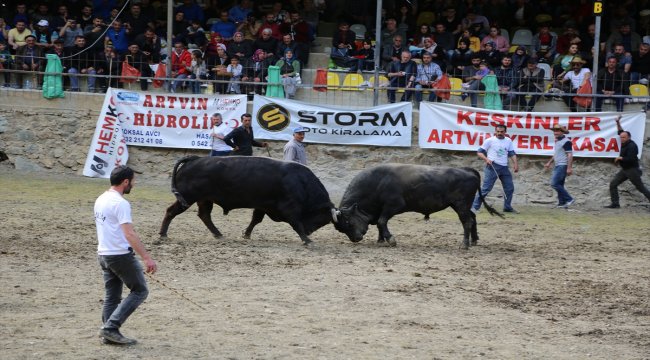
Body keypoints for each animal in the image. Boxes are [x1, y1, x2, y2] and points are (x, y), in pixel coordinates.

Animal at [159, 155, 336, 245]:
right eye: (323, 219)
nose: (309, 231)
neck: (300, 181)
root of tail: (194, 159)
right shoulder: (289, 208)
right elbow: (296, 223)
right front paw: (307, 239)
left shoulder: (263, 206)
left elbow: (255, 220)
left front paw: (246, 234)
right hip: (187, 198)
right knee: (171, 212)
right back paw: (163, 234)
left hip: (204, 199)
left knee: (204, 215)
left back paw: (218, 234)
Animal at [332, 165, 498, 249]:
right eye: (340, 228)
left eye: (348, 222)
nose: (355, 239)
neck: (377, 182)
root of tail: (467, 170)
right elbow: (380, 223)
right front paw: (381, 240)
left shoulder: (393, 206)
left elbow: (381, 222)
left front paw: (391, 240)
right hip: (463, 206)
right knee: (473, 217)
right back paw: (474, 241)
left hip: (461, 205)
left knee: (467, 222)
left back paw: (464, 245)